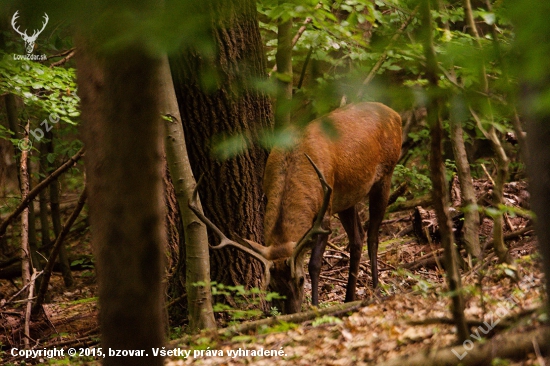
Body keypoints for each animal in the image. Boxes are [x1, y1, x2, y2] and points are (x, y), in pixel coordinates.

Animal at [190, 101, 402, 314]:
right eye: (271, 286)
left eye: (300, 280)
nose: (291, 312)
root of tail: (395, 114)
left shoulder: (324, 213)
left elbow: (314, 264)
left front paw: (315, 306)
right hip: (346, 198)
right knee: (357, 237)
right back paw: (349, 298)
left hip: (386, 175)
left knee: (373, 236)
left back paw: (376, 290)